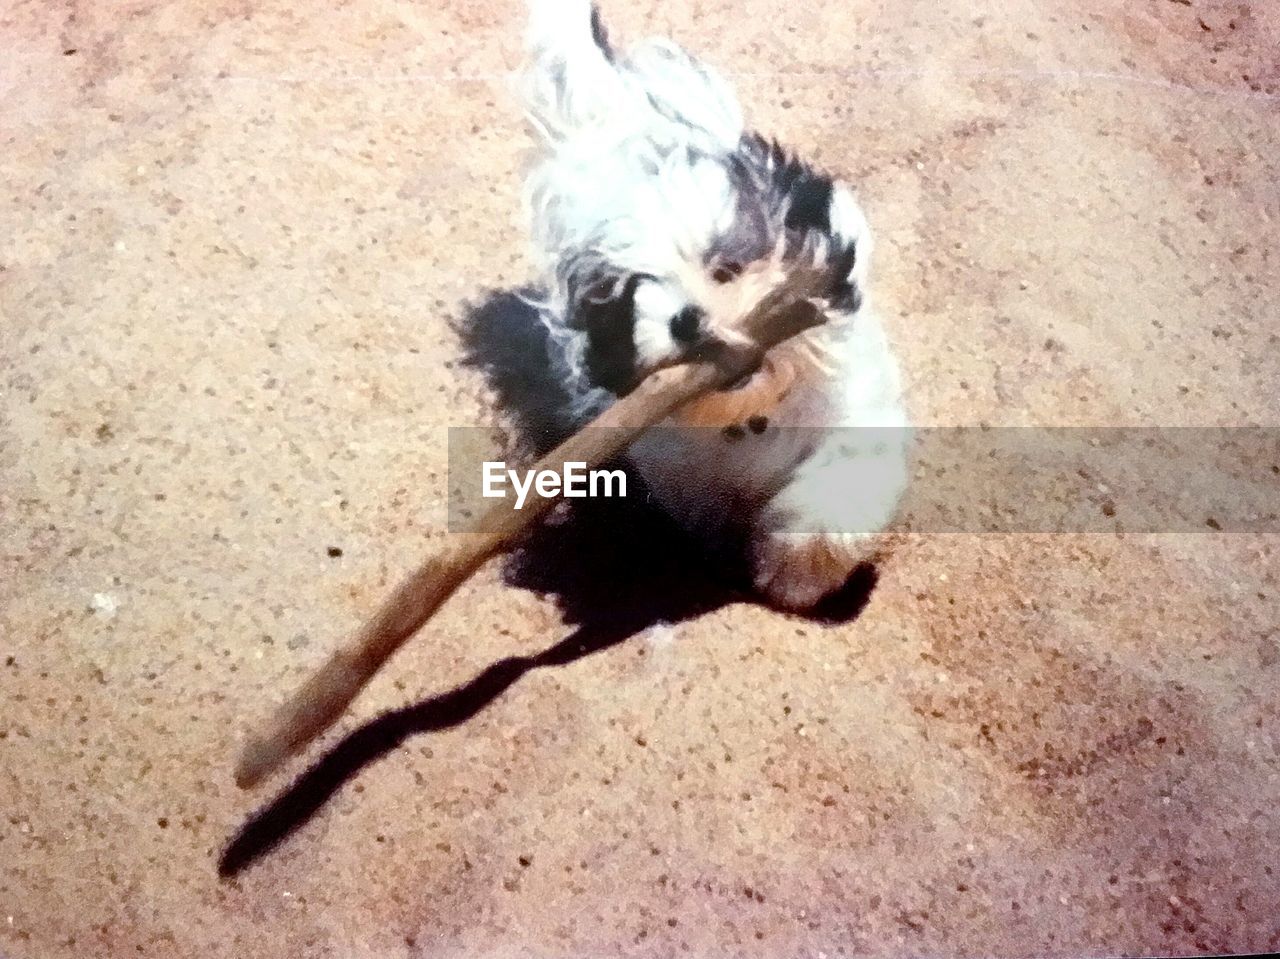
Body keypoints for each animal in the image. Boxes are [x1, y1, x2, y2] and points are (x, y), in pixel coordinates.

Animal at [514, 0, 906, 609]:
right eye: (631, 296)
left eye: (725, 269)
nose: (686, 319)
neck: (753, 414)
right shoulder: (687, 480)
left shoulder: (854, 415)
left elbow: (835, 494)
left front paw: (795, 571)